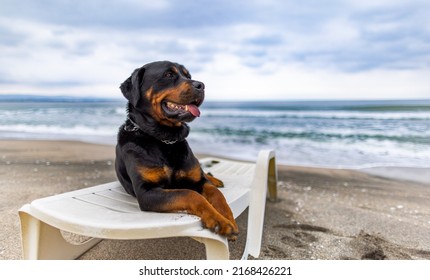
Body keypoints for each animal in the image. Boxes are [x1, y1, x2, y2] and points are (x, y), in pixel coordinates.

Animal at [114, 61, 239, 241]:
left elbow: (216, 194)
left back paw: (214, 179)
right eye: (168, 75)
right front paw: (218, 220)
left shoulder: (198, 181)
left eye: (188, 75)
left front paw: (228, 217)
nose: (201, 85)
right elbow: (189, 194)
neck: (164, 140)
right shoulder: (146, 192)